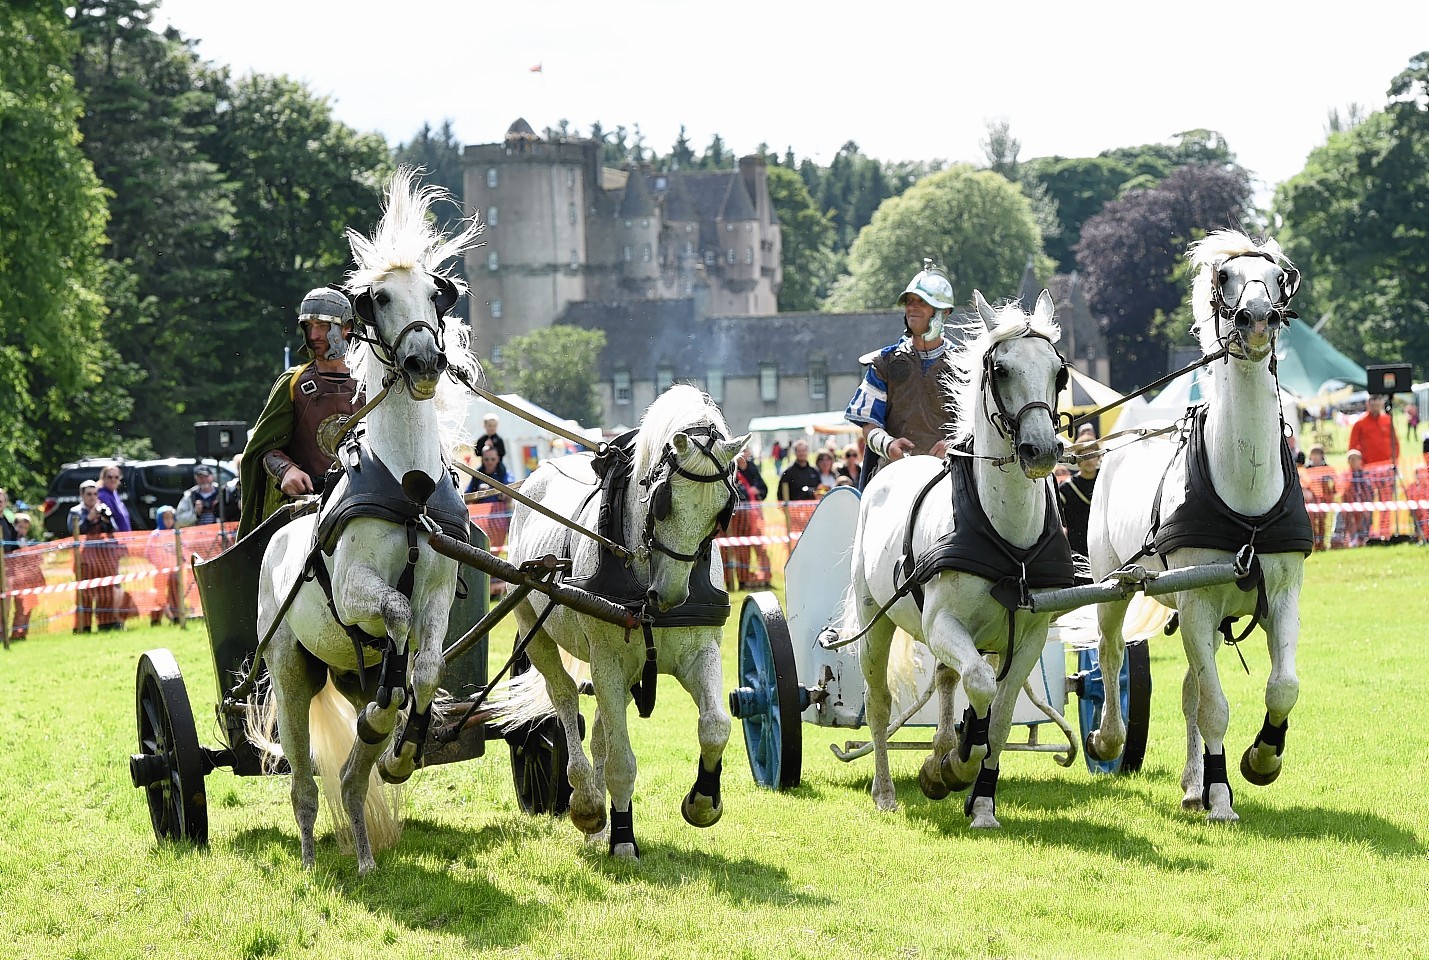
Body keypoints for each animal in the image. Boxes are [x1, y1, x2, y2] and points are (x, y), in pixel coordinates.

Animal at [251, 168, 485, 874]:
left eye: (434, 294)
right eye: (378, 296)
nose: (424, 363)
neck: (408, 492)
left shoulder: (437, 593)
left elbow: (426, 666)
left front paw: (405, 746)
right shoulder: (358, 595)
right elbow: (397, 617)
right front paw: (394, 712)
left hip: (343, 672)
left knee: (354, 777)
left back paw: (363, 847)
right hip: (291, 669)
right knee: (304, 776)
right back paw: (308, 854)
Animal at [497, 385, 748, 857]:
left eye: (722, 512)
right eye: (663, 503)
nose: (670, 596)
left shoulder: (699, 653)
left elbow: (715, 726)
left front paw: (703, 801)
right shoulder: (608, 662)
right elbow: (621, 761)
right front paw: (622, 838)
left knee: (599, 730)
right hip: (536, 631)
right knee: (565, 700)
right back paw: (588, 806)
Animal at [845, 288, 1074, 828]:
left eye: (1059, 372)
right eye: (1001, 370)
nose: (1041, 450)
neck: (1007, 541)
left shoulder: (1027, 636)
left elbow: (1002, 716)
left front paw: (980, 800)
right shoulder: (942, 625)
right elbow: (981, 686)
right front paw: (954, 767)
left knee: (948, 680)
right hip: (875, 622)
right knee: (880, 704)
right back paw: (886, 790)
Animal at [1091, 228, 1308, 822]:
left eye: (1277, 277)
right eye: (1224, 277)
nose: (1256, 319)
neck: (1246, 498)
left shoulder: (1282, 595)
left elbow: (1282, 687)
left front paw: (1262, 758)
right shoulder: (1196, 604)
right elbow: (1215, 706)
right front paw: (1221, 797)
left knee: (1189, 683)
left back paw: (1192, 784)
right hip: (1112, 585)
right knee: (1112, 655)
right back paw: (1110, 741)